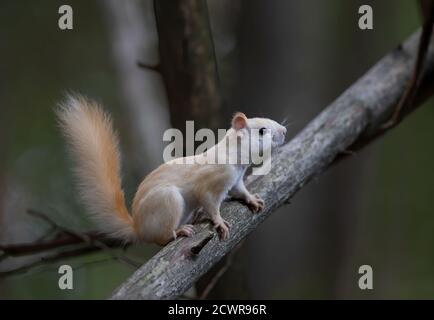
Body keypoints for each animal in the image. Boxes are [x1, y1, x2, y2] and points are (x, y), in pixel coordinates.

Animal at [56, 94, 288, 245]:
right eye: (262, 131)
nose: (285, 131)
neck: (233, 156)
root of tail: (138, 227)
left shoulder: (236, 180)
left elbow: (240, 191)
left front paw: (252, 199)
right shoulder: (212, 181)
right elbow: (210, 203)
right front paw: (220, 222)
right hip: (168, 201)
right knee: (161, 238)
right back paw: (178, 231)